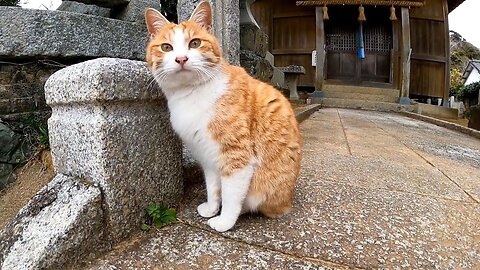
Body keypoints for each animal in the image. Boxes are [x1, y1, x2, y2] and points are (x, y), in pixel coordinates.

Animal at [144, 0, 302, 232]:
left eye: (195, 43)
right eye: (166, 47)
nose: (181, 59)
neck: (191, 93)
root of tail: (287, 202)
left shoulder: (236, 157)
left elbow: (231, 196)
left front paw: (224, 221)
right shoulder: (207, 157)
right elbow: (213, 188)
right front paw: (211, 208)